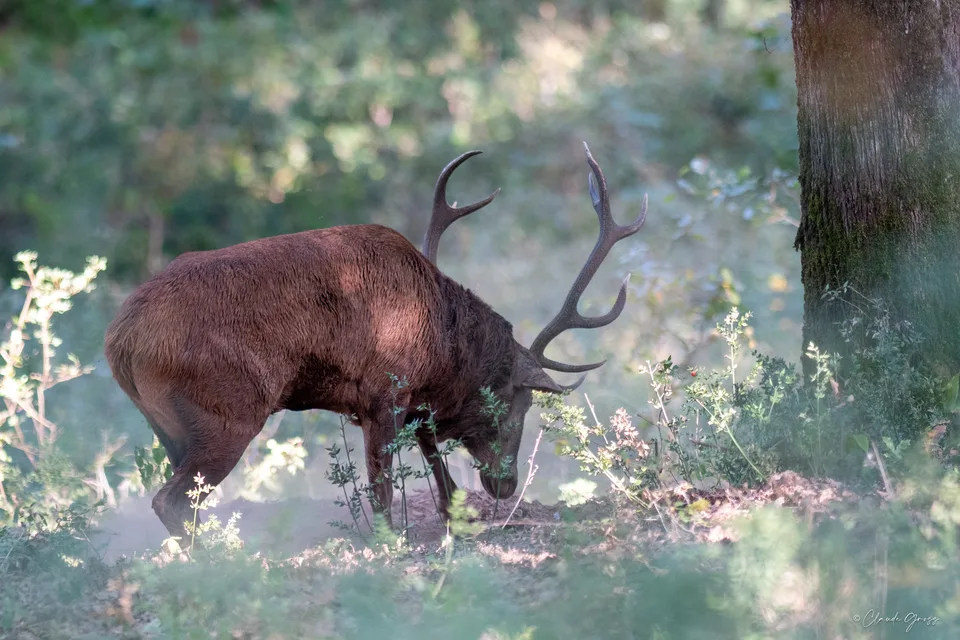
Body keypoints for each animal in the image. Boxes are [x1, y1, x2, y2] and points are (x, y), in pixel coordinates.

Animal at [103, 142, 647, 543]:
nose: (504, 484)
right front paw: (391, 541)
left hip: (167, 427)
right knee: (171, 501)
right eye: (519, 401)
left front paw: (452, 515)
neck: (441, 340)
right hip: (227, 412)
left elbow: (429, 451)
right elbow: (383, 488)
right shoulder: (384, 391)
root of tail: (119, 341)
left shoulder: (402, 396)